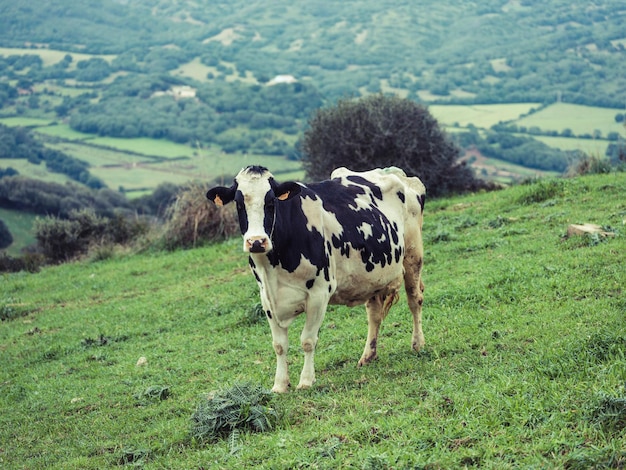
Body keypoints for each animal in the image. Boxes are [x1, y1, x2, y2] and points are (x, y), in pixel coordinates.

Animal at [205, 165, 424, 392]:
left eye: (271, 202)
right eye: (239, 203)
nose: (256, 242)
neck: (273, 268)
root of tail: (395, 172)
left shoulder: (319, 293)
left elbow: (308, 340)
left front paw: (306, 381)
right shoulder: (266, 299)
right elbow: (279, 345)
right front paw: (280, 384)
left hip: (413, 256)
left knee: (414, 300)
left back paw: (417, 344)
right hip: (373, 277)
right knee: (374, 315)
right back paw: (368, 356)